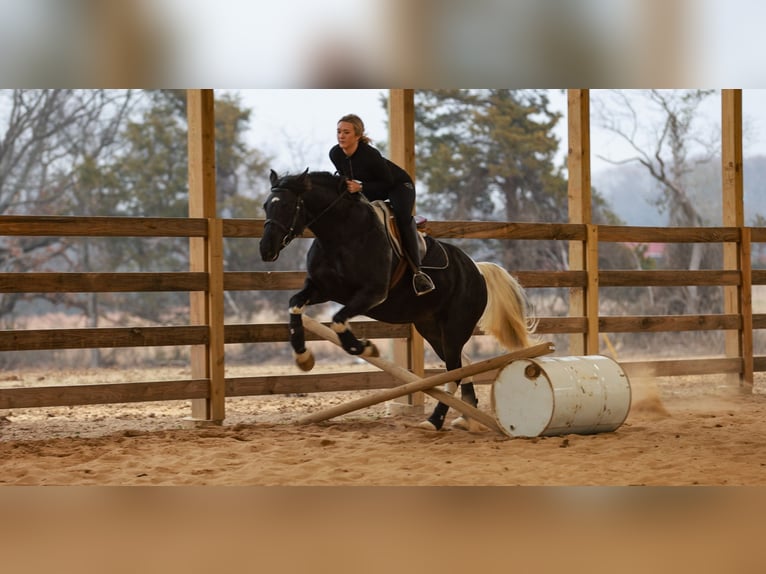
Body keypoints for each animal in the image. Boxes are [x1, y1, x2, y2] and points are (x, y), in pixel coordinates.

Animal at [259, 169, 537, 430]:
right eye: (266, 206)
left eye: (286, 206)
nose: (266, 250)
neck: (342, 235)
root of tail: (477, 270)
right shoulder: (321, 289)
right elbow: (295, 305)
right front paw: (303, 357)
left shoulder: (372, 294)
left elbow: (338, 320)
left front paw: (366, 348)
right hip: (431, 329)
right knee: (460, 366)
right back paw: (466, 419)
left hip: (454, 328)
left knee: (456, 370)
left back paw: (434, 421)